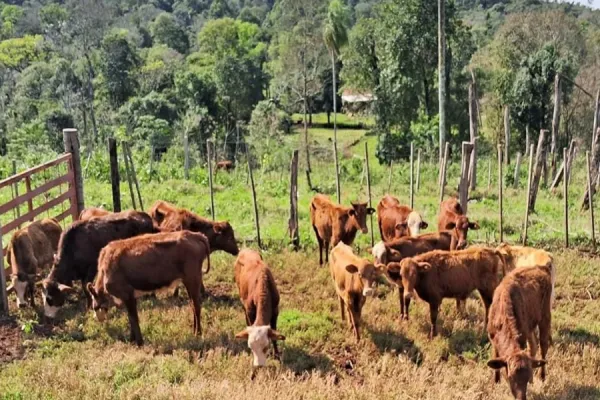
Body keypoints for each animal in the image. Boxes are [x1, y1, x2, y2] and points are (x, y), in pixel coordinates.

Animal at [486, 262, 552, 400]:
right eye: (510, 377)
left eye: (527, 378)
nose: (521, 397)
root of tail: (541, 268)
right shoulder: (493, 339)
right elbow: (496, 357)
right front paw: (496, 382)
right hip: (530, 327)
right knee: (533, 345)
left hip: (545, 317)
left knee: (543, 345)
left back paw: (542, 377)